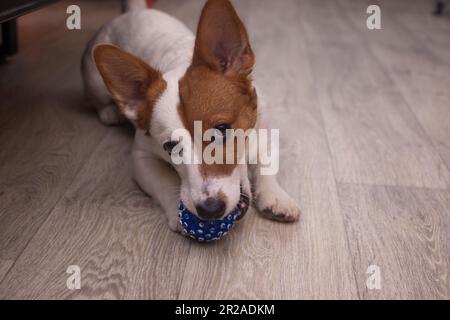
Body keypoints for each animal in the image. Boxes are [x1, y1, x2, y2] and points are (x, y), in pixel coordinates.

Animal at [82, 0, 300, 231]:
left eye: (221, 130)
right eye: (170, 146)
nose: (210, 209)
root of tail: (134, 12)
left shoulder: (264, 131)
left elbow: (266, 164)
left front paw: (276, 196)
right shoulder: (142, 156)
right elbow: (163, 181)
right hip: (95, 82)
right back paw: (110, 111)